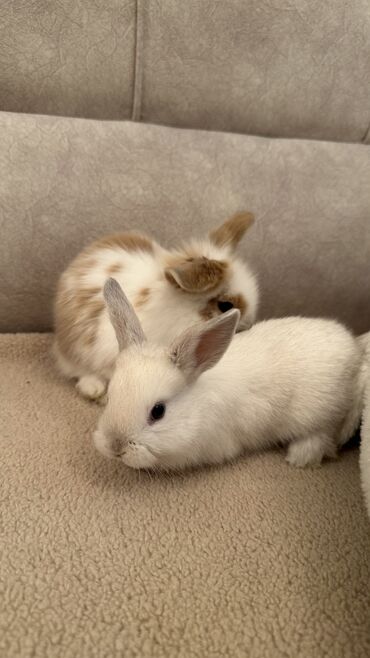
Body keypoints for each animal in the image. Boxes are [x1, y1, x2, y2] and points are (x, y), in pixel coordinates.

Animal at [93, 276, 364, 472]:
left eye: (158, 412)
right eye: (110, 397)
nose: (115, 447)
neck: (197, 404)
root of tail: (353, 350)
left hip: (319, 415)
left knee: (322, 435)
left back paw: (299, 457)